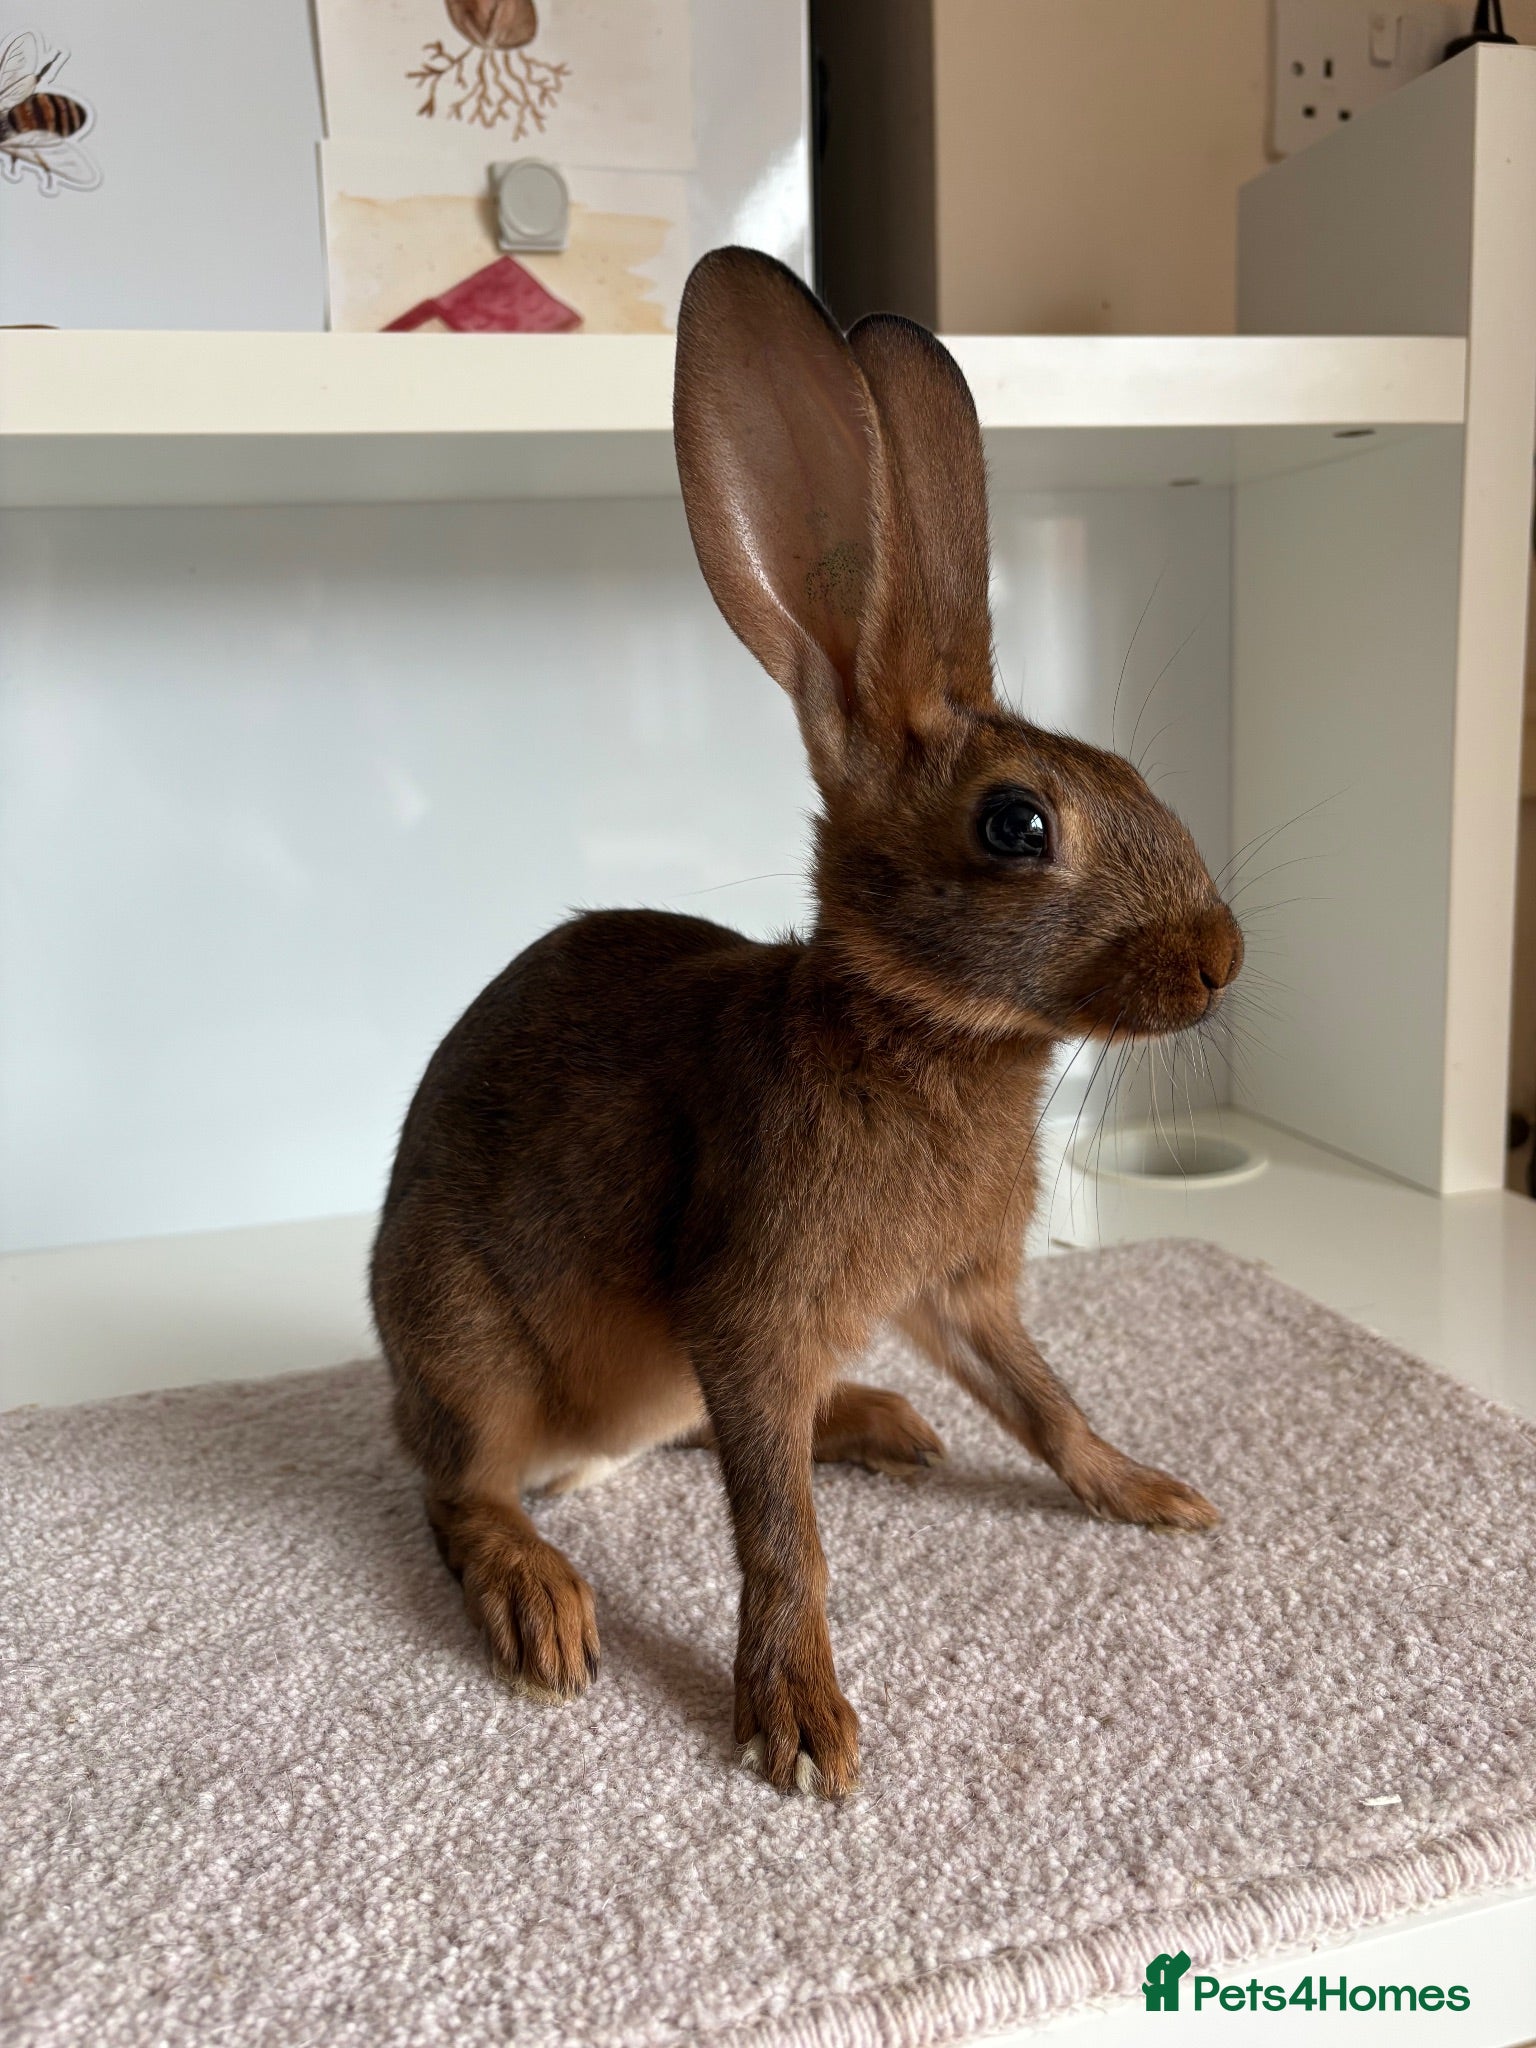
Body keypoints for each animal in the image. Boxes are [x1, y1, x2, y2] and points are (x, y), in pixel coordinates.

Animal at [370, 246, 1242, 1800]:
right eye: (1016, 825)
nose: (1222, 958)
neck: (930, 1036)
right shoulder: (752, 1304)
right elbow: (781, 1535)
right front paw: (798, 1716)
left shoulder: (957, 1294)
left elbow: (1046, 1402)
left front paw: (1150, 1492)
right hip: (469, 1345)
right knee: (460, 1491)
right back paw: (543, 1605)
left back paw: (883, 1423)